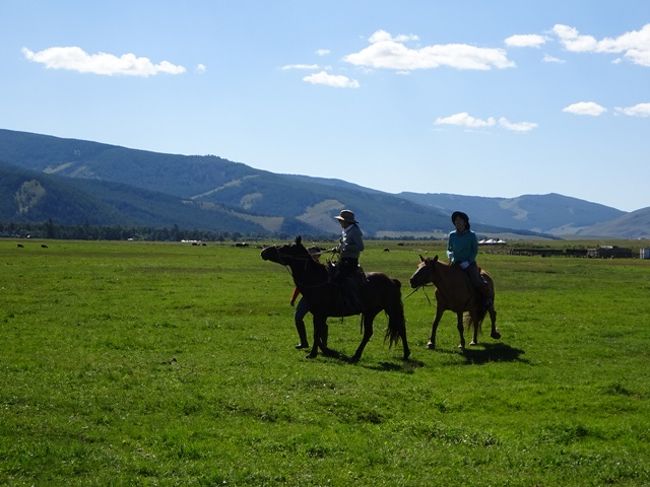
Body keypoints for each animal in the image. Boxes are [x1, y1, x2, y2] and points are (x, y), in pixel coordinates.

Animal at [260, 236, 408, 362]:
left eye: (285, 247)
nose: (264, 251)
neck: (316, 278)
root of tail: (392, 280)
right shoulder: (319, 314)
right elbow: (319, 332)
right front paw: (324, 350)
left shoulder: (319, 314)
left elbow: (317, 333)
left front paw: (313, 353)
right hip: (371, 312)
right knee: (370, 332)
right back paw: (356, 355)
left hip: (389, 309)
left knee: (399, 328)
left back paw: (403, 353)